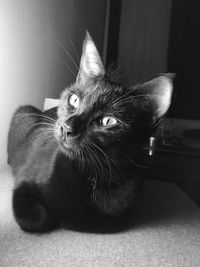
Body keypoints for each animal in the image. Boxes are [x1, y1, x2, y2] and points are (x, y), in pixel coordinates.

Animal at [7, 33, 173, 234]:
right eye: (74, 100)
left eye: (108, 121)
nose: (67, 127)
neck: (92, 173)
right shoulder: (23, 183)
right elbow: (37, 219)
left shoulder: (119, 216)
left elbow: (89, 220)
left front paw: (68, 218)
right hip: (23, 112)